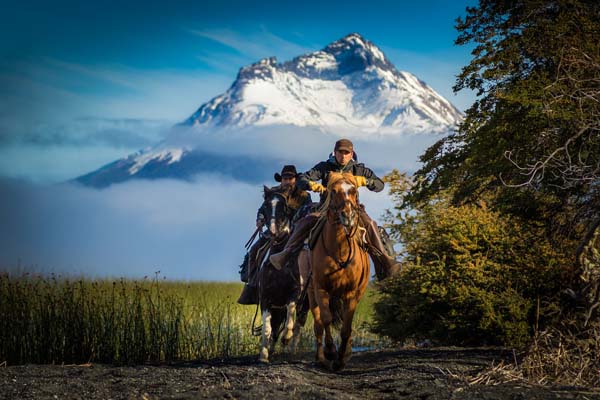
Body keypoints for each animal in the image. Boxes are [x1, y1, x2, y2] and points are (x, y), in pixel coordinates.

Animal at [255, 184, 310, 362]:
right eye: (265, 206)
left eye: (283, 208)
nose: (272, 231)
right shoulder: (265, 298)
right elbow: (267, 329)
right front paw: (264, 355)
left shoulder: (294, 294)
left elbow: (290, 316)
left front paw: (286, 338)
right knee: (275, 326)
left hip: (306, 304)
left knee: (298, 325)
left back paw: (291, 349)